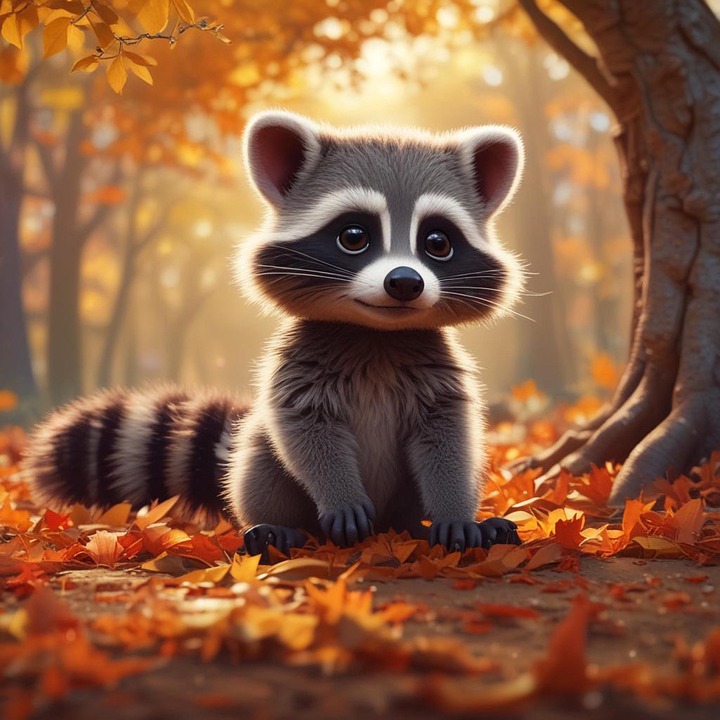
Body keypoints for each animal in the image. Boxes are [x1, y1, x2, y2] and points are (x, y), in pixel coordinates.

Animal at [23, 111, 526, 556]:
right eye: (354, 236)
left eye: (437, 243)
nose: (404, 282)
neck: (377, 334)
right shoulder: (300, 367)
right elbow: (305, 431)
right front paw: (340, 496)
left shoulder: (439, 372)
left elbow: (449, 441)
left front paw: (455, 514)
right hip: (262, 464)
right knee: (259, 461)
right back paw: (276, 527)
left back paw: (424, 526)